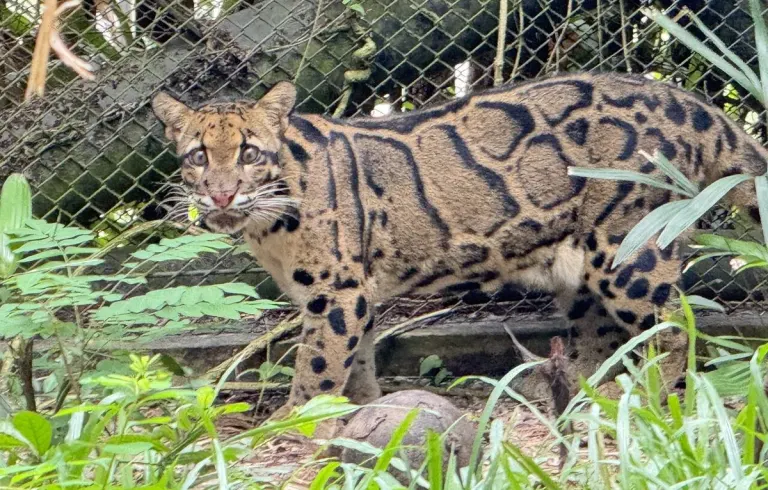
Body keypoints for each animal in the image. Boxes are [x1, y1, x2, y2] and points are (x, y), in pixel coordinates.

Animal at [151, 72, 767, 417]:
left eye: (250, 153)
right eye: (198, 156)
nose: (222, 194)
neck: (268, 225)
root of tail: (688, 101)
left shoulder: (337, 293)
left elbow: (318, 365)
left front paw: (297, 421)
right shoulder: (356, 294)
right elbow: (359, 362)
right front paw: (364, 412)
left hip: (630, 249)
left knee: (680, 325)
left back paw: (658, 397)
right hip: (582, 268)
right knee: (599, 336)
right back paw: (587, 394)